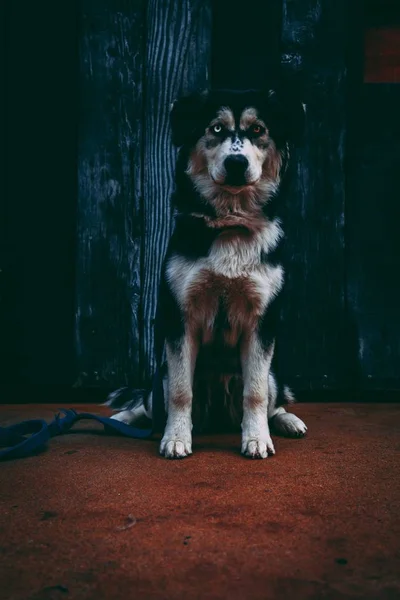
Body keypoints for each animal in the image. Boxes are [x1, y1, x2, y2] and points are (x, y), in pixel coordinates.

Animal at [106, 86, 306, 458]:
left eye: (258, 130)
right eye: (216, 128)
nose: (236, 162)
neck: (231, 224)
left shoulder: (262, 321)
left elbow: (256, 393)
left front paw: (257, 438)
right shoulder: (179, 318)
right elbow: (180, 392)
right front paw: (176, 438)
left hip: (273, 374)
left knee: (273, 399)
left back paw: (287, 421)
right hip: (161, 372)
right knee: (148, 403)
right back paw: (124, 419)